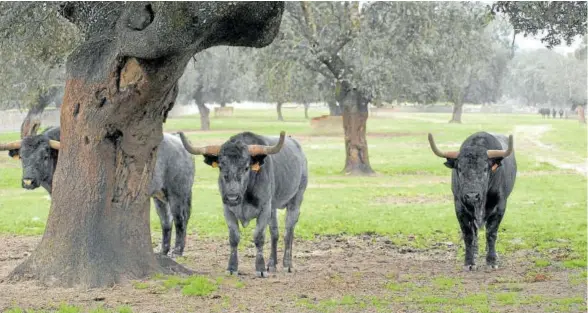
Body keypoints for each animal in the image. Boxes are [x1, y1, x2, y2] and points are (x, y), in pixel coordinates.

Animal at [0, 125, 198, 255]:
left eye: (45, 155)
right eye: (22, 156)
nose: (28, 181)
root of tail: (179, 144)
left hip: (178, 193)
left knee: (180, 219)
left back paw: (177, 251)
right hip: (160, 196)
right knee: (166, 221)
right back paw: (163, 250)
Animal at [428, 130, 516, 270]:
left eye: (485, 169)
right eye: (459, 169)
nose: (472, 196)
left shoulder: (500, 206)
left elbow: (491, 233)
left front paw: (492, 261)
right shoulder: (459, 207)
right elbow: (468, 234)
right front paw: (469, 261)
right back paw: (475, 251)